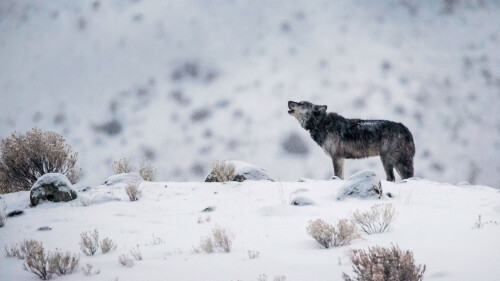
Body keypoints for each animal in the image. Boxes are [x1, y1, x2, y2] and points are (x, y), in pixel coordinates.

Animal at [288, 99, 416, 180]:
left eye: (302, 103)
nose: (289, 101)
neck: (320, 123)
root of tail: (406, 129)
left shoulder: (337, 157)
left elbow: (338, 176)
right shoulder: (341, 158)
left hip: (392, 161)